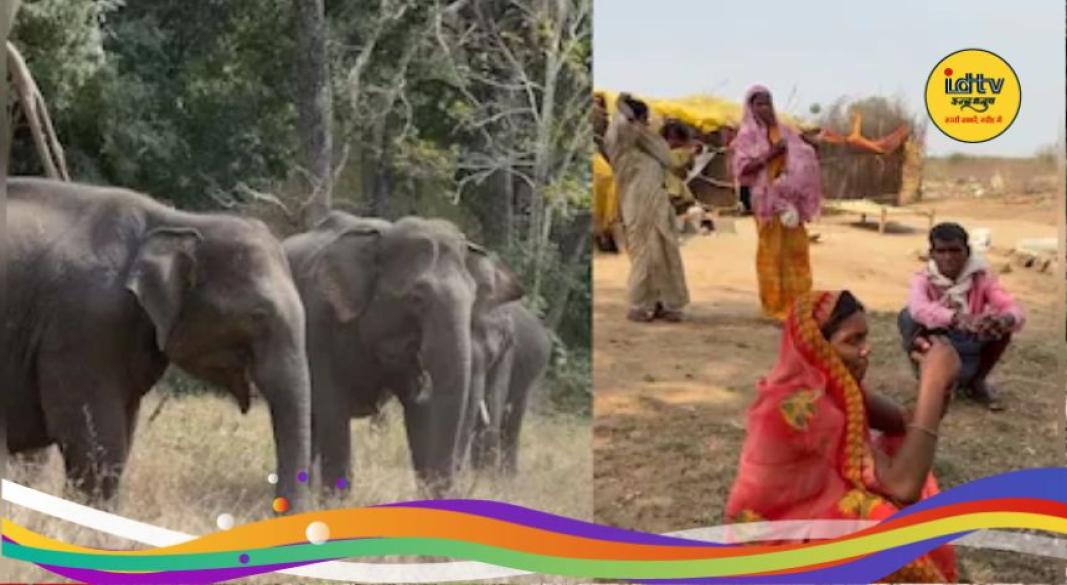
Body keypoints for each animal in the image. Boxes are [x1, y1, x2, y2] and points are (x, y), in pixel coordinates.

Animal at [283, 211, 519, 496]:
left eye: (473, 299)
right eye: (417, 298)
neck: (383, 237)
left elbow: (422, 415)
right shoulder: (318, 322)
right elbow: (332, 407)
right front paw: (336, 501)